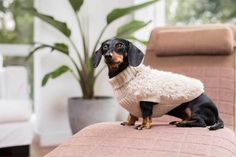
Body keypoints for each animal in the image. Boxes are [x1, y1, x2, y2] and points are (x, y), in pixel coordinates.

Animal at [91, 37, 223, 130]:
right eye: (105, 46)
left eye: (120, 45)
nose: (108, 56)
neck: (128, 76)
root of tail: (217, 114)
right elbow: (132, 115)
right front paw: (129, 123)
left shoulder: (145, 101)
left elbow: (146, 116)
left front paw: (144, 126)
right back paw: (180, 121)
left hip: (194, 108)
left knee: (202, 123)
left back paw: (183, 123)